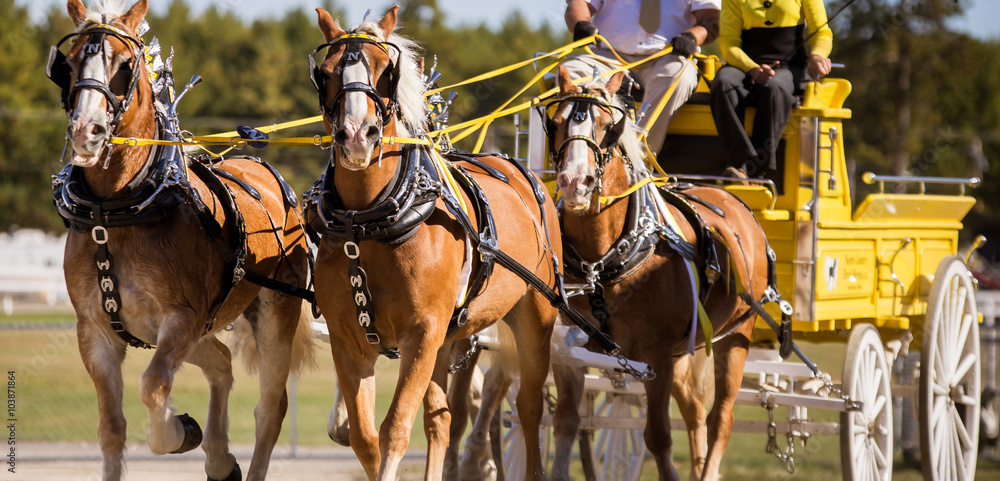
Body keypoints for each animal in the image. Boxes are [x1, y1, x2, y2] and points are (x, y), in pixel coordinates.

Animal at [52, 1, 313, 479]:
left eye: (124, 64)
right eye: (72, 61)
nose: (85, 131)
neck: (113, 213)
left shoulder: (181, 320)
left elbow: (153, 385)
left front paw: (177, 432)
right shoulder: (95, 332)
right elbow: (110, 429)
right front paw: (191, 437)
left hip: (273, 312)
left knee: (270, 408)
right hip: (202, 328)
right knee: (223, 363)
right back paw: (219, 457)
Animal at [305, 6, 565, 480]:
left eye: (386, 70)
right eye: (326, 72)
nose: (357, 136)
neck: (366, 224)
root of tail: (519, 171)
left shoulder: (422, 334)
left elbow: (394, 429)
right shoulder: (348, 339)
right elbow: (366, 439)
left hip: (534, 317)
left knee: (529, 407)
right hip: (447, 340)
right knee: (442, 421)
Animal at [544, 65, 771, 481]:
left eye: (609, 126)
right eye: (554, 123)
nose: (575, 181)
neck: (601, 264)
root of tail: (731, 197)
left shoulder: (658, 357)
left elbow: (658, 436)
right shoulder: (566, 351)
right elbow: (565, 423)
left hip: (737, 335)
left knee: (720, 420)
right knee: (695, 411)